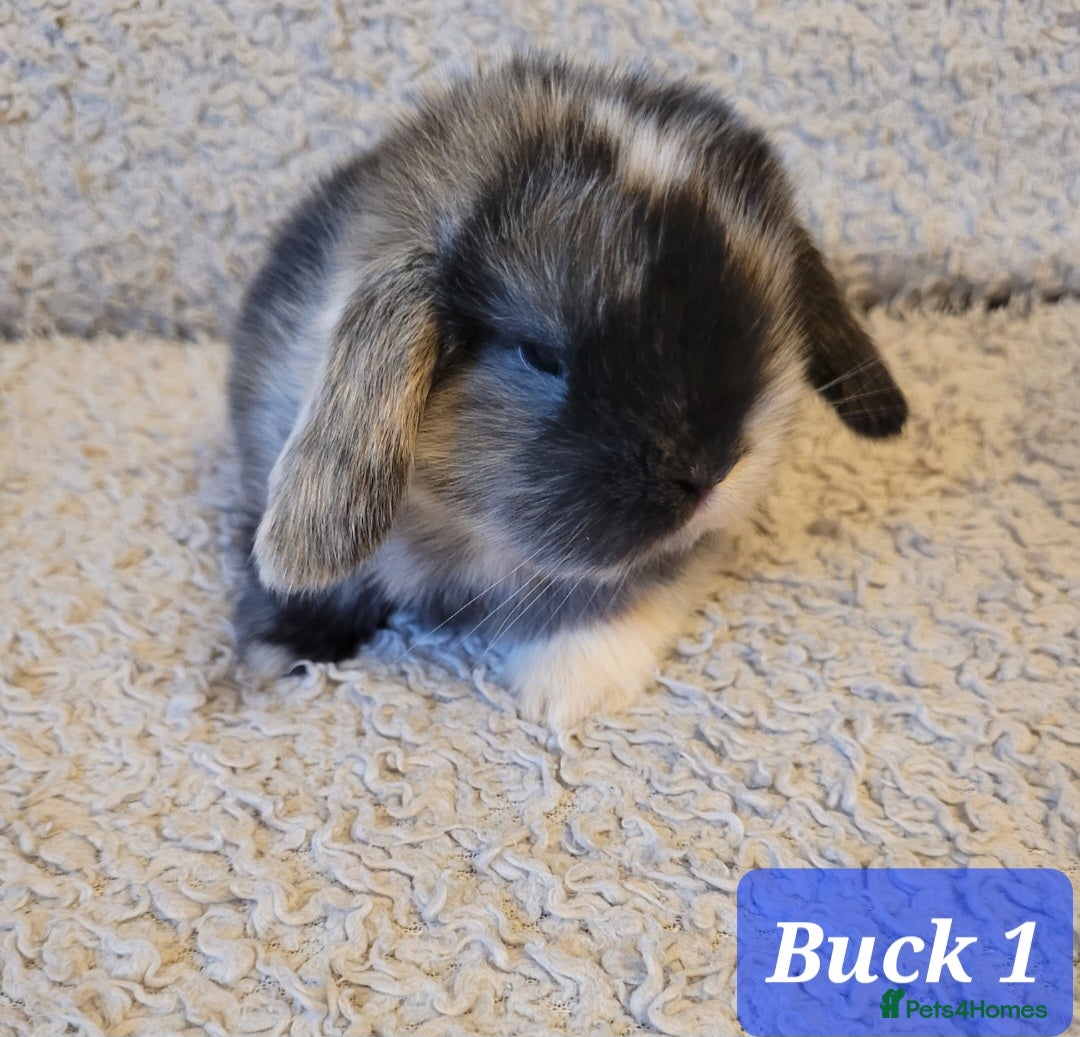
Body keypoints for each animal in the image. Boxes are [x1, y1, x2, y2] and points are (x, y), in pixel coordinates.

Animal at [227, 51, 908, 730]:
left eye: (765, 320)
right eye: (539, 355)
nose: (708, 471)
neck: (456, 530)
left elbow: (607, 593)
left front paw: (572, 684)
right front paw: (275, 652)